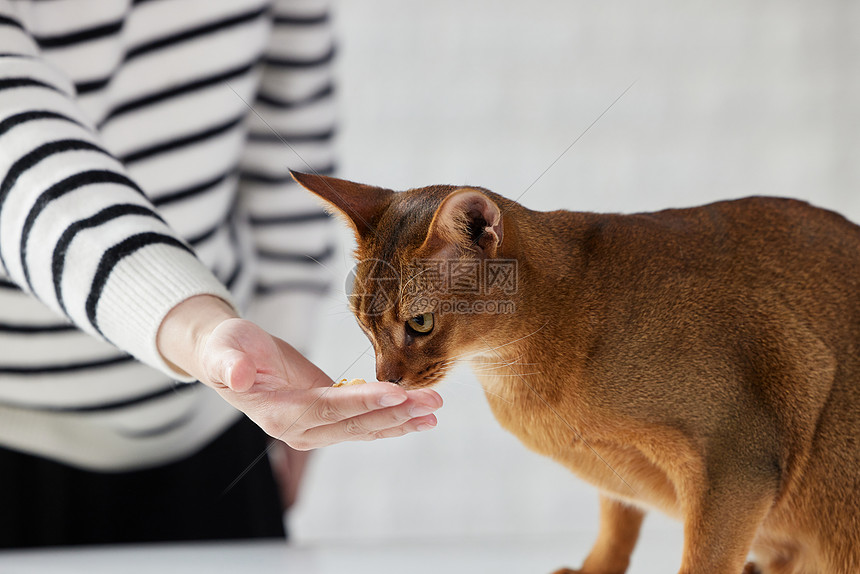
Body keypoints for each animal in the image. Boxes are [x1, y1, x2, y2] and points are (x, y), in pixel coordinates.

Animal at [290, 170, 860, 574]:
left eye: (420, 323)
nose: (388, 379)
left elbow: (705, 560)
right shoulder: (618, 473)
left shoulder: (739, 457)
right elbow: (615, 527)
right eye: (364, 325)